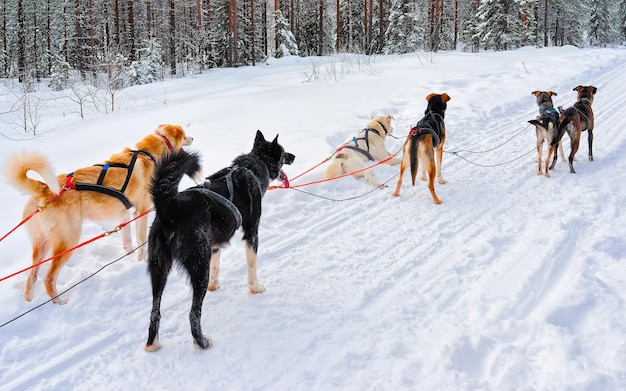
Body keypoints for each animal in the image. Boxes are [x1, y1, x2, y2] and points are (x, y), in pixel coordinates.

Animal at [5, 124, 193, 304]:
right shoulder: (141, 211)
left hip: (42, 245)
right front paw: (142, 260)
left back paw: (29, 300)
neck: (147, 155)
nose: (192, 137)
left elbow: (127, 241)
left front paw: (130, 257)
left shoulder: (124, 213)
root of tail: (45, 190)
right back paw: (59, 301)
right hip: (68, 241)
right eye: (184, 134)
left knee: (32, 276)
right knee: (48, 278)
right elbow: (141, 240)